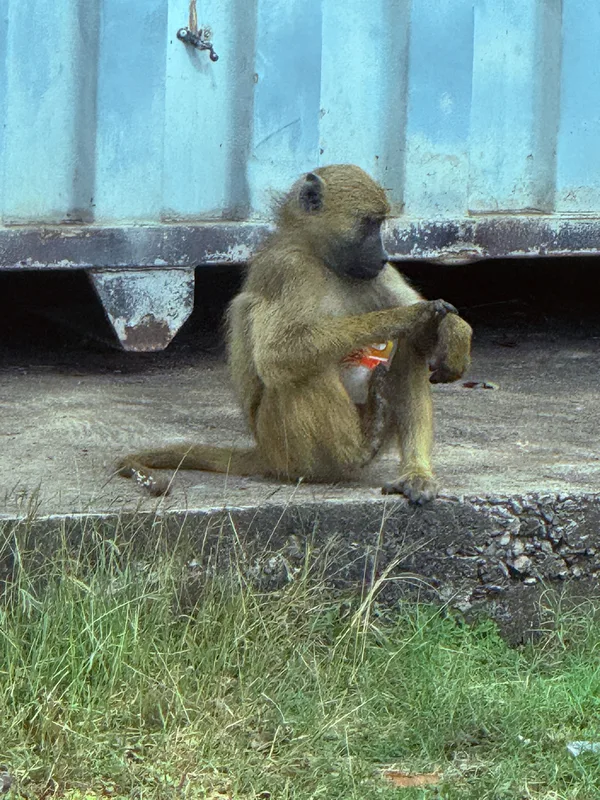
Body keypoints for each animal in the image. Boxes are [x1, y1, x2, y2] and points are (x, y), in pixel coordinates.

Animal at [117, 164, 472, 503]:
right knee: (300, 372)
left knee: (407, 352)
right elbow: (278, 353)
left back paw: (414, 473)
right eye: (369, 224)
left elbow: (427, 334)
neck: (320, 259)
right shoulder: (288, 269)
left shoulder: (375, 275)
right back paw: (359, 448)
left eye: (379, 224)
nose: (384, 257)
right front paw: (411, 315)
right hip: (284, 445)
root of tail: (263, 453)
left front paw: (454, 331)